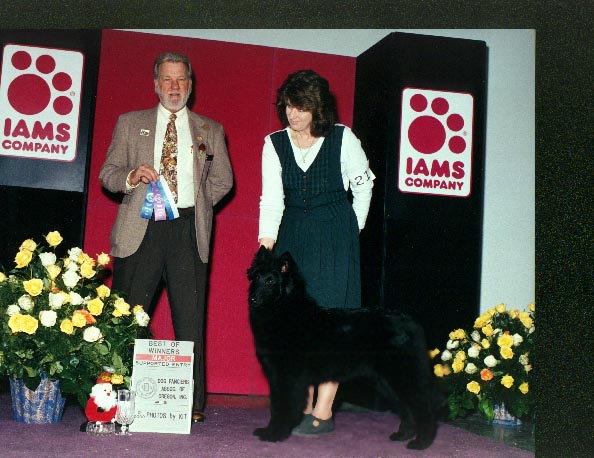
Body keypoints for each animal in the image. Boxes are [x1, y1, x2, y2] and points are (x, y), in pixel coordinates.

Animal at [247, 246, 438, 450]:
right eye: (256, 277)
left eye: (270, 281)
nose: (252, 299)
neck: (284, 311)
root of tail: (410, 322)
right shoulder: (276, 377)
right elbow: (275, 406)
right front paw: (269, 430)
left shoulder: (288, 378)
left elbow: (283, 407)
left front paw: (275, 434)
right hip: (387, 382)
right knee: (407, 407)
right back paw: (403, 435)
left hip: (401, 377)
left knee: (423, 406)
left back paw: (422, 442)